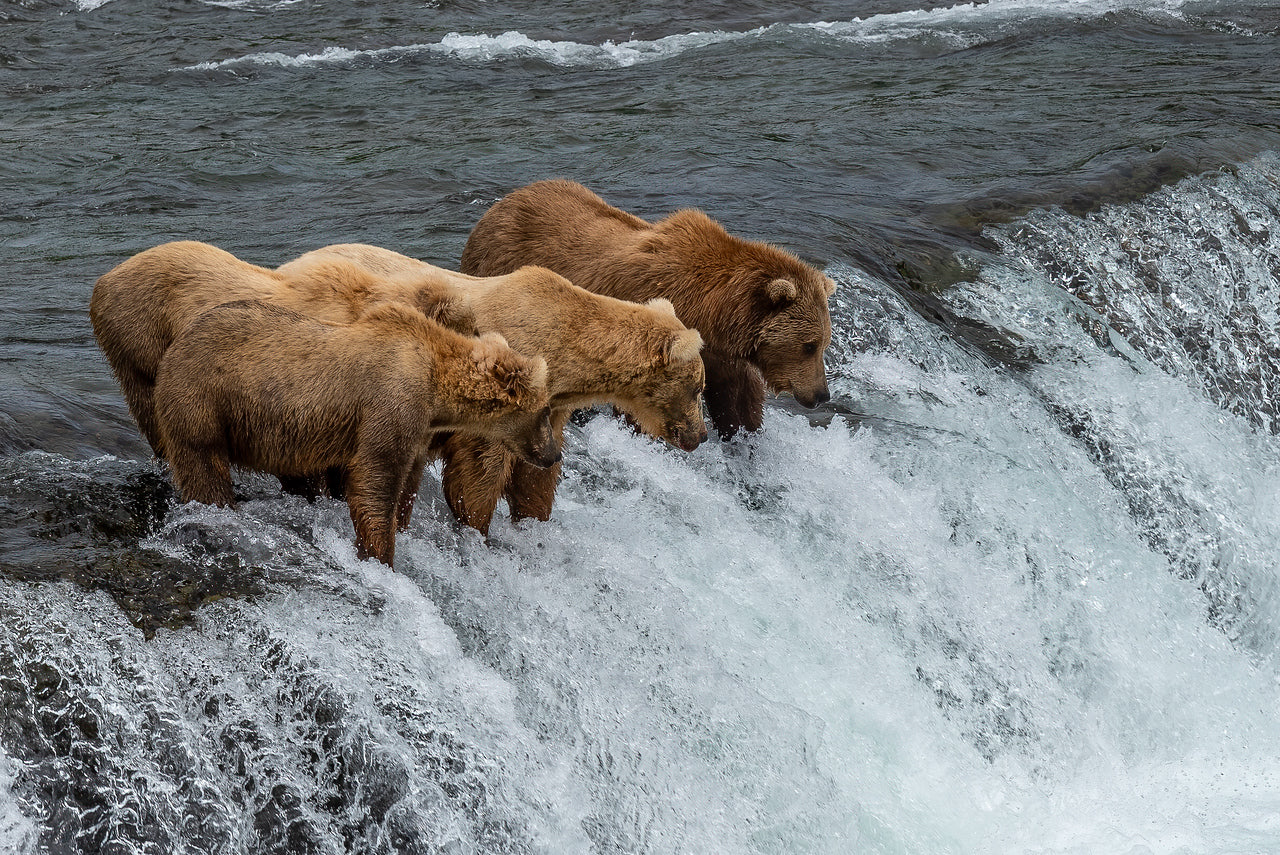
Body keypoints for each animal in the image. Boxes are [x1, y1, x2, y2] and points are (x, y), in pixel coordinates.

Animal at [277, 241, 711, 535]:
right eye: (699, 388)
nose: (701, 434)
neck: (564, 356)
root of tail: (291, 263)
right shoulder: (501, 397)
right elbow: (479, 474)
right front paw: (478, 527)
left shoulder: (549, 410)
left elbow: (535, 477)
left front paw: (533, 517)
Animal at [460, 179, 839, 435]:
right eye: (808, 345)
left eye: (824, 342)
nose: (821, 394)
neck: (713, 311)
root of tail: (499, 206)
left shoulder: (724, 357)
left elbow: (738, 401)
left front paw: (744, 433)